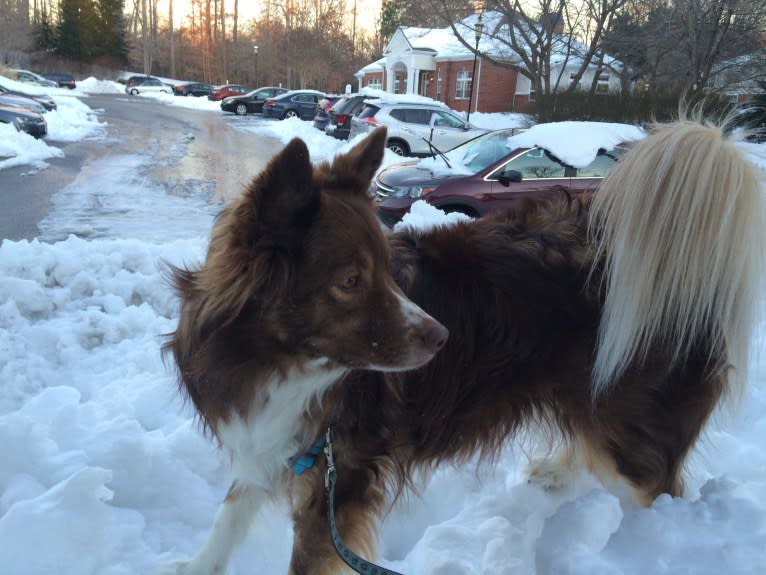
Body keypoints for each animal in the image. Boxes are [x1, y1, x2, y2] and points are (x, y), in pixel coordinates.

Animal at [165, 118, 764, 575]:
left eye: (387, 271)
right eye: (350, 281)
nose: (442, 338)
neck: (278, 359)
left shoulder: (338, 477)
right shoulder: (273, 441)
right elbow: (229, 514)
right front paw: (196, 567)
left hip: (634, 429)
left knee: (655, 484)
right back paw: (559, 472)